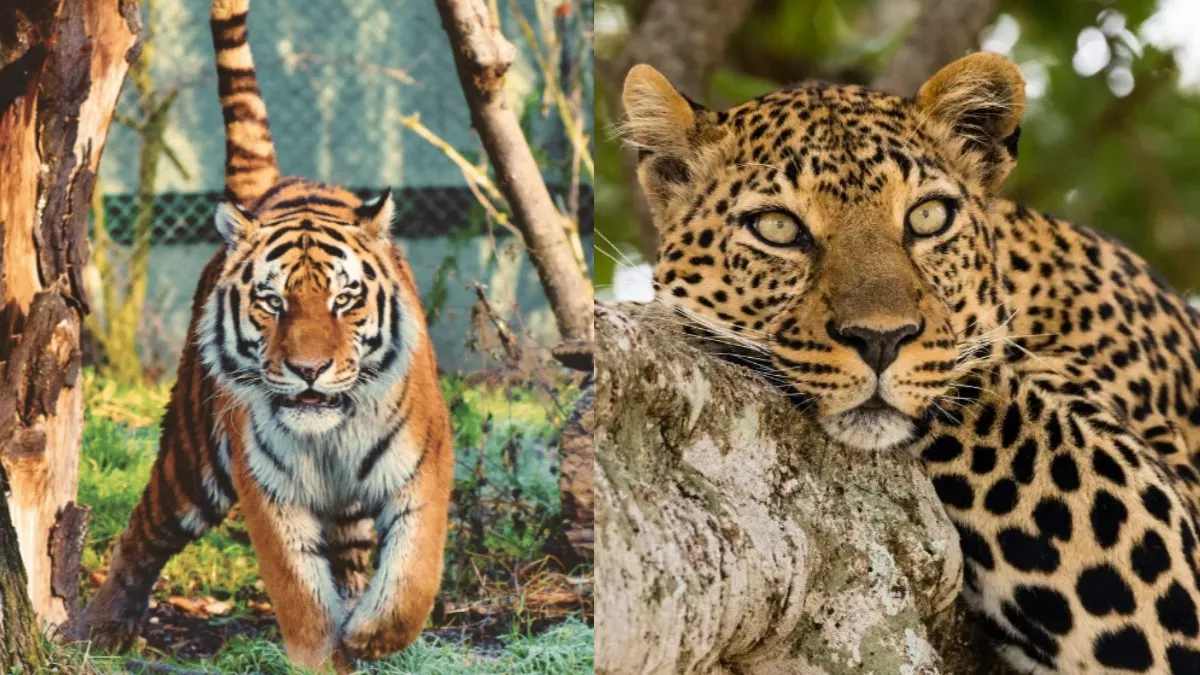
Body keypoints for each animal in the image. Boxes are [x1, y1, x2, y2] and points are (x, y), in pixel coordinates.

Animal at [65, 0, 454, 669]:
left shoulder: (423, 465)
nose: (309, 370)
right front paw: (324, 654)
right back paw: (102, 628)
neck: (331, 437)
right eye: (272, 302)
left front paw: (370, 636)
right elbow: (300, 592)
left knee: (352, 557)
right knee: (142, 533)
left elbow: (412, 577)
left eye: (344, 299)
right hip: (191, 459)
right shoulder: (267, 489)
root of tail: (273, 186)